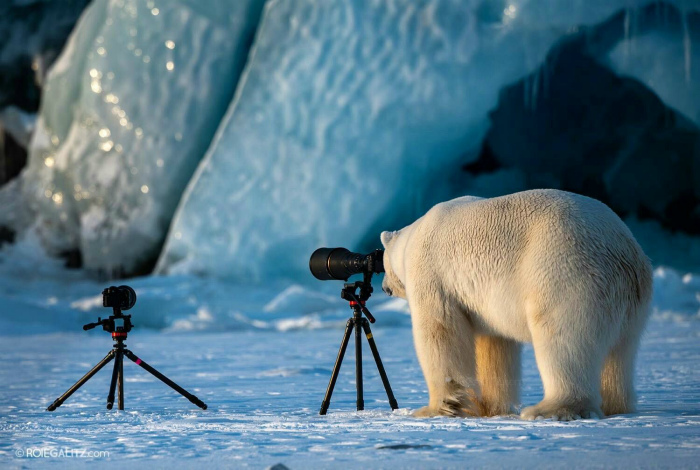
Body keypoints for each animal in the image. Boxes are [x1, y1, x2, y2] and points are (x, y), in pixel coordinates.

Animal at [380, 189, 652, 420]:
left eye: (382, 264)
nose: (384, 287)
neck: (412, 238)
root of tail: (623, 250)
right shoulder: (485, 303)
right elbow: (494, 345)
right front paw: (488, 408)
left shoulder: (432, 274)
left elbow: (440, 332)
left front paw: (436, 409)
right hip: (630, 302)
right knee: (621, 353)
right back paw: (616, 406)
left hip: (567, 274)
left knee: (563, 341)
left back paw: (548, 409)